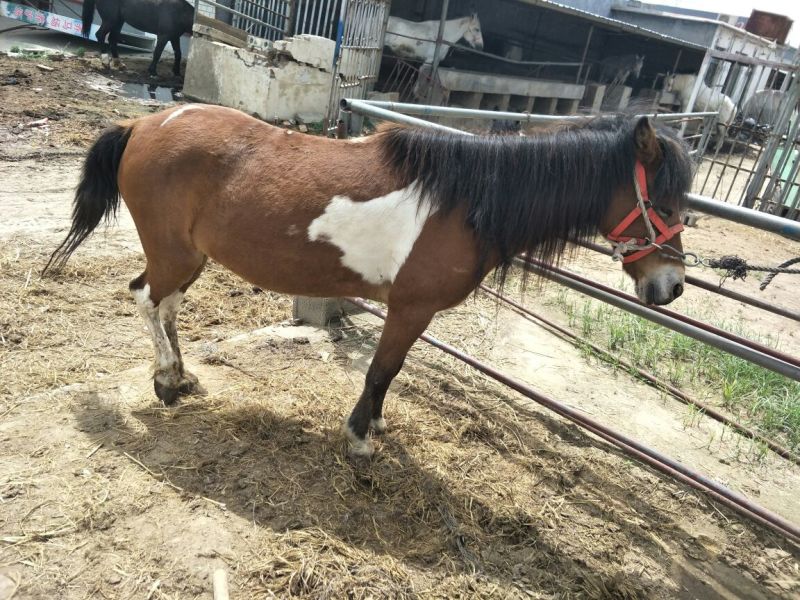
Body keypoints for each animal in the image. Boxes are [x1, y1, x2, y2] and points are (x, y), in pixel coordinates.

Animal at [42, 106, 693, 458]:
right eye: (663, 199)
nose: (672, 286)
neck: (467, 201)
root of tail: (144, 123)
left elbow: (390, 373)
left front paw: (375, 422)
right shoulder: (410, 308)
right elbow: (383, 368)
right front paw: (360, 436)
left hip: (191, 257)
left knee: (166, 306)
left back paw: (180, 379)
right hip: (174, 253)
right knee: (147, 300)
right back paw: (165, 382)